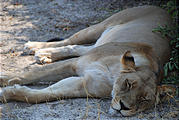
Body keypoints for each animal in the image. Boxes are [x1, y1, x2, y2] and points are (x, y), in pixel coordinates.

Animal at [0, 5, 173, 116]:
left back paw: (43, 55)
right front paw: (4, 79)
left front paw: (7, 93)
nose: (123, 107)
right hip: (99, 27)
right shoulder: (74, 64)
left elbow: (42, 95)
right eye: (128, 84)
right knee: (70, 41)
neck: (112, 77)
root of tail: (163, 10)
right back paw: (33, 47)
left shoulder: (83, 85)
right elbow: (32, 74)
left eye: (143, 100)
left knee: (76, 47)